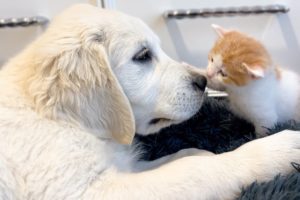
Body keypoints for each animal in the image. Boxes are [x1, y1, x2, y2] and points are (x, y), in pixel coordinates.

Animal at [0, 3, 298, 200]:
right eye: (143, 56)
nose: (202, 81)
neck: (66, 120)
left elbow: (177, 160)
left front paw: (199, 151)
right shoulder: (84, 190)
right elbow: (197, 171)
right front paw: (277, 150)